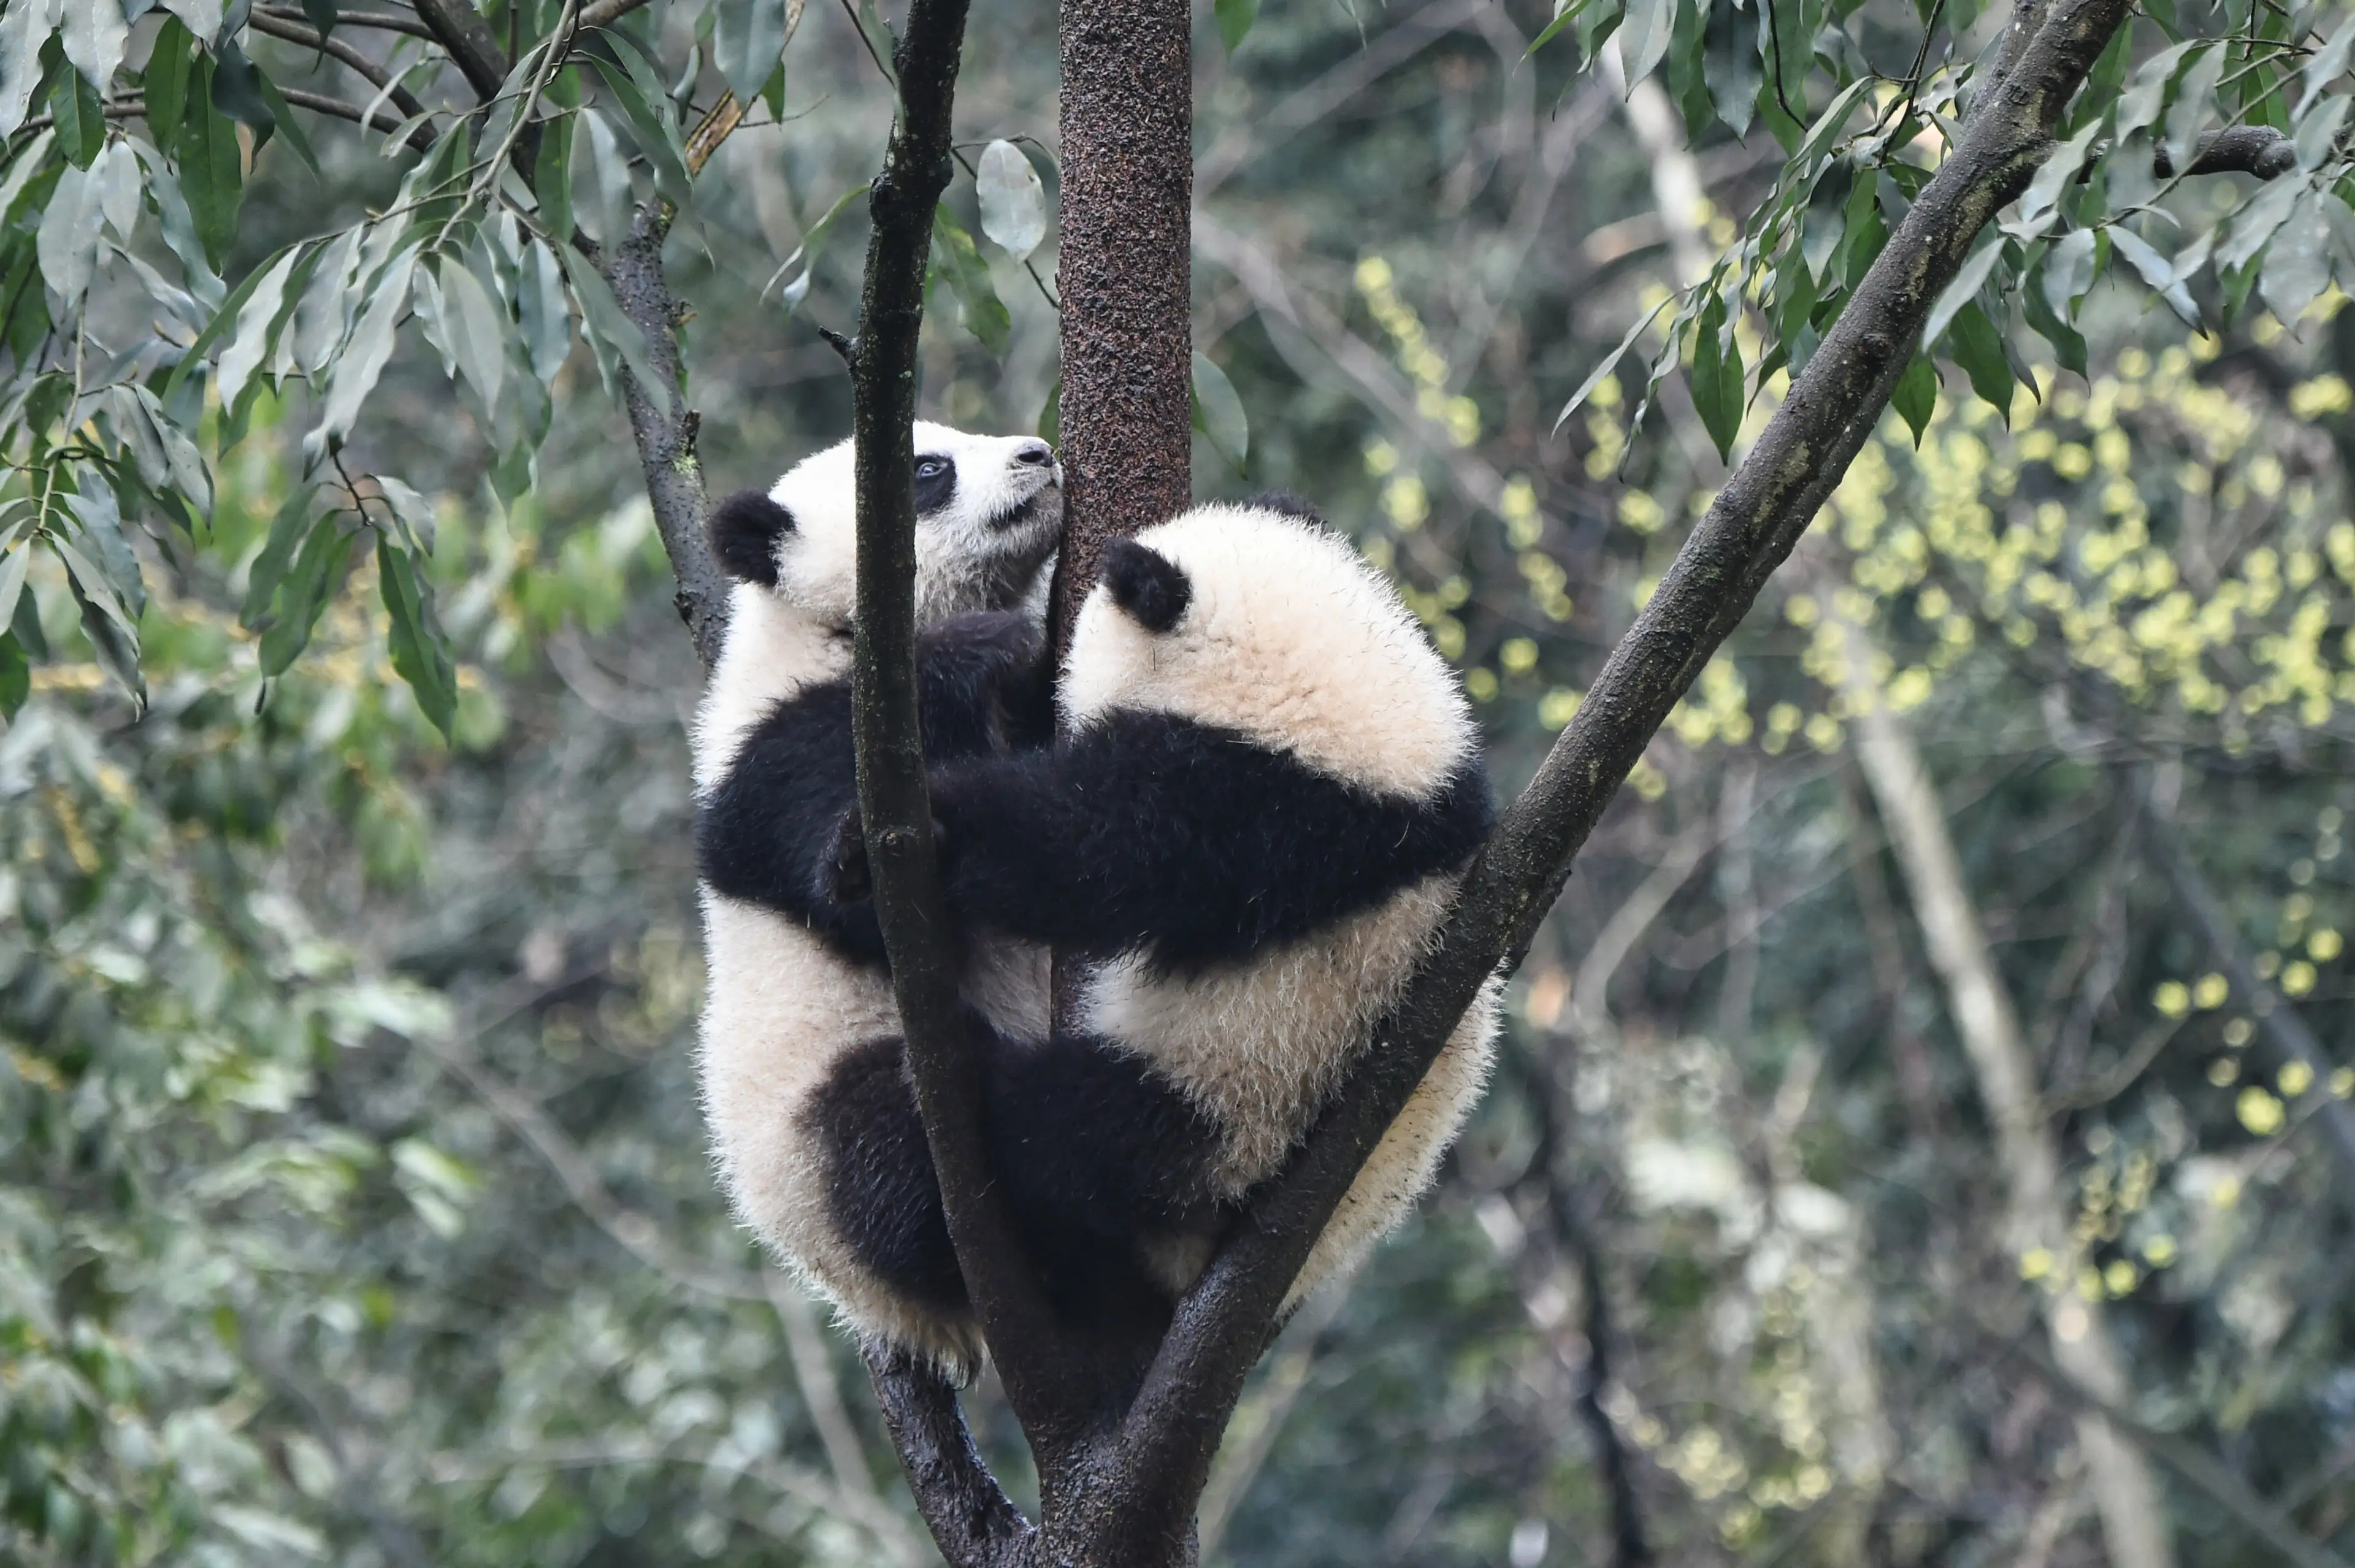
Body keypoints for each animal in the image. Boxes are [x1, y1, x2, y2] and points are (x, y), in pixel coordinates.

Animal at [692, 423, 1062, 1372]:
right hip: (813, 1149)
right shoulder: (776, 758)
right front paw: (988, 638)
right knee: (882, 1150)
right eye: (928, 469)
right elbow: (854, 903)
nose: (1038, 454)